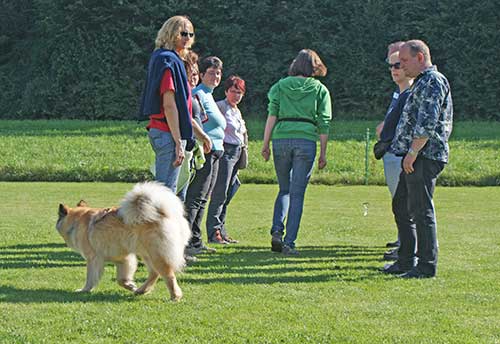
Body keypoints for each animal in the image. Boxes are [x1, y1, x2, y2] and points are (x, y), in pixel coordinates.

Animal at [55, 183, 191, 300]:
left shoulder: (93, 259)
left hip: (157, 254)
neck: (76, 221)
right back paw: (141, 290)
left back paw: (175, 296)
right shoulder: (124, 258)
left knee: (168, 275)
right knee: (154, 273)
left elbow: (91, 277)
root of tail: (162, 213)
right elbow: (121, 279)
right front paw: (131, 286)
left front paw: (85, 290)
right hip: (146, 254)